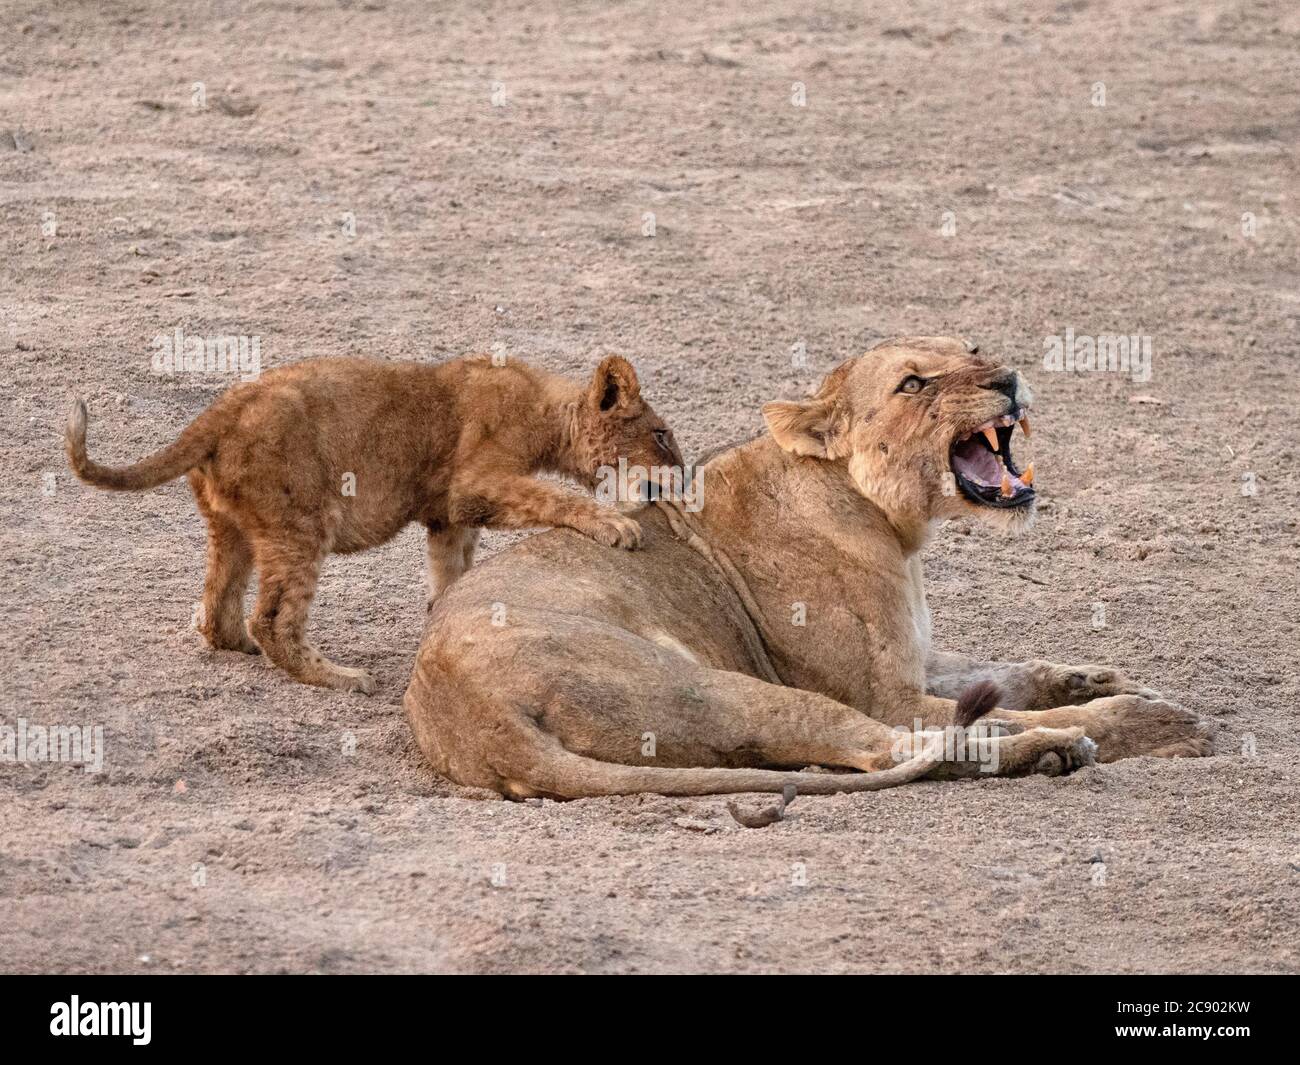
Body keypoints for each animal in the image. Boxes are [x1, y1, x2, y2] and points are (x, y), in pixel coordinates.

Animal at [66, 354, 683, 694]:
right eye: (660, 435)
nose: (681, 473)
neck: (549, 412)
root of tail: (216, 412)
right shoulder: (475, 483)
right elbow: (553, 496)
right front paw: (617, 526)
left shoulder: (448, 515)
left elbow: (451, 573)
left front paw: (450, 614)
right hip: (301, 521)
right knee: (274, 619)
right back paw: (340, 677)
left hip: (234, 525)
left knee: (219, 608)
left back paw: (238, 643)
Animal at [403, 337, 1212, 797]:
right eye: (913, 384)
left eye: (977, 351)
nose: (1008, 378)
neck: (894, 526)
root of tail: (472, 716)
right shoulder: (885, 692)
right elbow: (994, 706)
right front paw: (1152, 716)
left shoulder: (918, 659)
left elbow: (1012, 672)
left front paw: (1102, 677)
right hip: (723, 689)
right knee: (891, 748)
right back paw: (1053, 750)